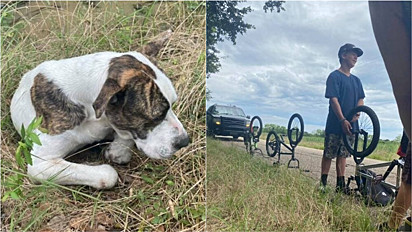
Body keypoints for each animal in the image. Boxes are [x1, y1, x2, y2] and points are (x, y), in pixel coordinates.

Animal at [10, 30, 190, 189]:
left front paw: (118, 149)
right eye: (157, 116)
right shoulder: (41, 164)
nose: (184, 142)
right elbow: (108, 174)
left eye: (173, 104)